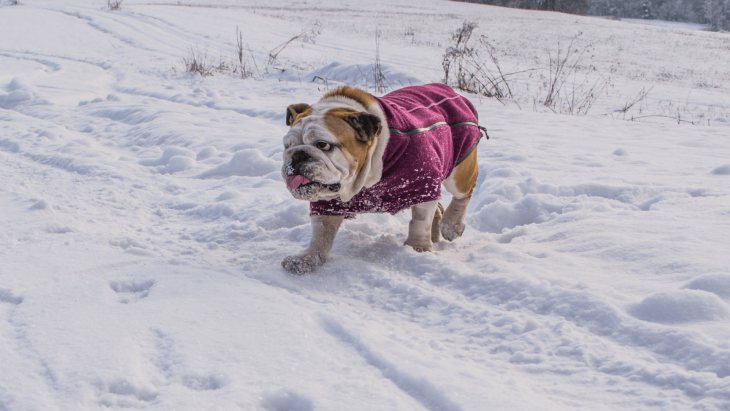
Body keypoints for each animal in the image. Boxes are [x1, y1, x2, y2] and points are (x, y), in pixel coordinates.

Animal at [282, 83, 486, 274]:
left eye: (323, 145)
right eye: (286, 146)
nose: (297, 155)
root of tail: (448, 90)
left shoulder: (422, 183)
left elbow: (420, 221)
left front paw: (418, 249)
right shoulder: (328, 202)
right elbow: (321, 233)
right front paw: (307, 258)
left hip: (458, 169)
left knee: (463, 193)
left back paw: (451, 225)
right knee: (438, 206)